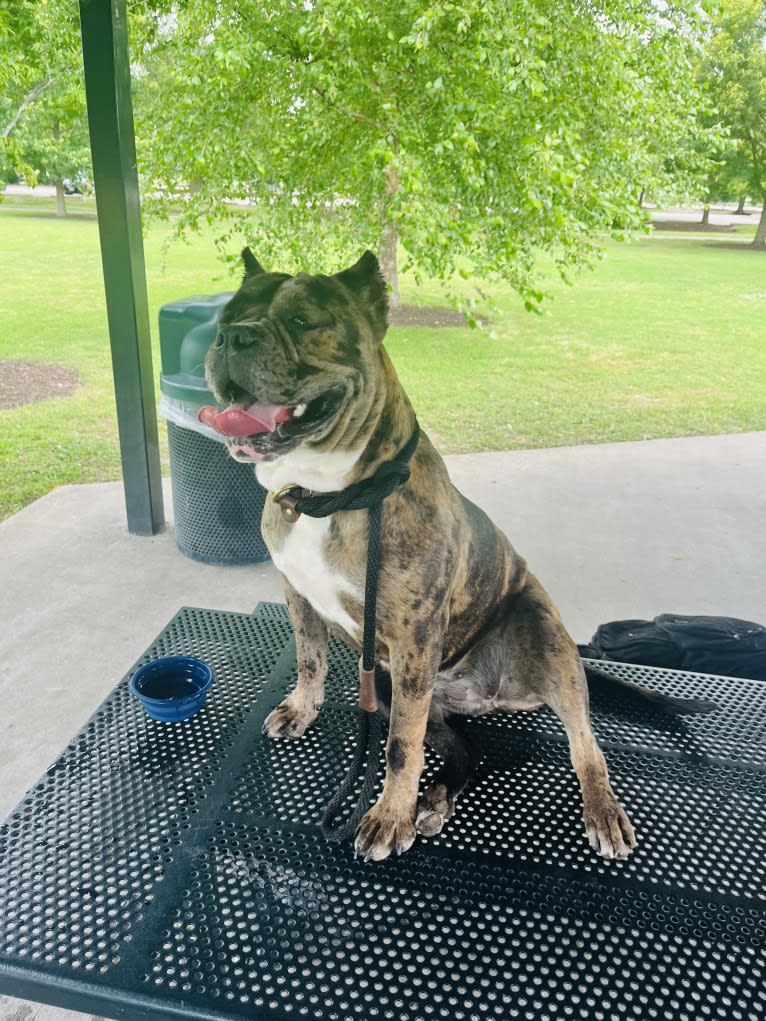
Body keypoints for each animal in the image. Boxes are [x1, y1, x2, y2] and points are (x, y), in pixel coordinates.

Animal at [204, 247, 637, 861]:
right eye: (224, 318)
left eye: (302, 320)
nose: (230, 338)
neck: (326, 494)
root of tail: (482, 697)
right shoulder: (299, 595)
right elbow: (310, 658)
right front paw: (303, 707)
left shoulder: (412, 638)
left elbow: (399, 748)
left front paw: (389, 816)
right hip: (394, 686)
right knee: (465, 749)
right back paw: (434, 801)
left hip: (543, 642)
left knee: (585, 743)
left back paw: (600, 810)